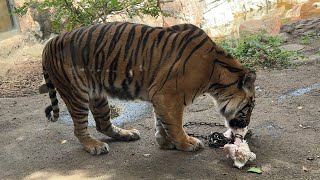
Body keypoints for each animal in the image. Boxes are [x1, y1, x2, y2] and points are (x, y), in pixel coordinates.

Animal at [41, 21, 256, 155]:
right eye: (250, 107)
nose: (246, 126)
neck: (216, 74)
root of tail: (48, 43)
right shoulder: (169, 95)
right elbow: (175, 124)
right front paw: (186, 143)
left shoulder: (161, 96)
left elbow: (162, 122)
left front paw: (165, 142)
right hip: (76, 94)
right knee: (80, 129)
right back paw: (94, 146)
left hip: (97, 95)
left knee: (103, 124)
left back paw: (127, 134)